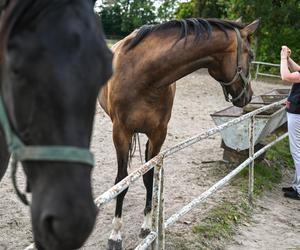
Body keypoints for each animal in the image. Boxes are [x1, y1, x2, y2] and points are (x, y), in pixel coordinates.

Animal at [99, 17, 258, 248]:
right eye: (251, 55)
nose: (249, 96)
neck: (144, 76)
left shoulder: (158, 134)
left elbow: (150, 177)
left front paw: (147, 226)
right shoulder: (121, 133)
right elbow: (122, 181)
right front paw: (115, 234)